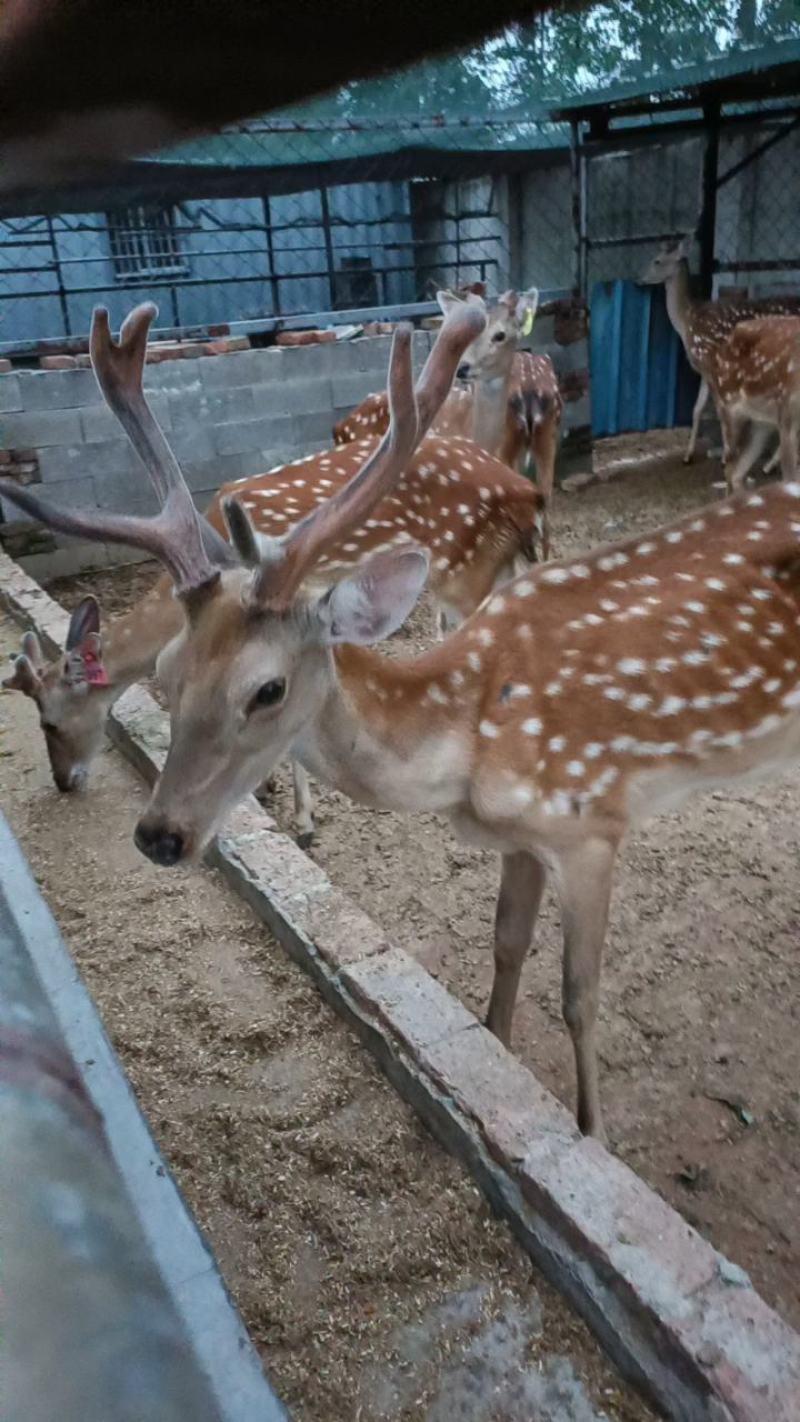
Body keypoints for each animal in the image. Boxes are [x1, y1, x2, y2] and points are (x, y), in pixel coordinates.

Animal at [1, 351, 543, 846]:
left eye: (49, 721)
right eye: (167, 677)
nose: (64, 780)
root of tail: (528, 491)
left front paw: (302, 820)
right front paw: (272, 793)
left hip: (467, 571)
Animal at [640, 235, 800, 470]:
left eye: (657, 260)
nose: (639, 279)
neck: (687, 321)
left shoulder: (710, 362)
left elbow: (719, 410)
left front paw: (726, 455)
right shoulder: (702, 368)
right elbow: (697, 408)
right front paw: (688, 455)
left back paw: (770, 464)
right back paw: (771, 463)